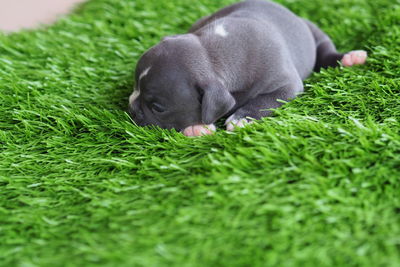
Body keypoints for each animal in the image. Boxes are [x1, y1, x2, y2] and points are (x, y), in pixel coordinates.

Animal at [127, 0, 366, 137]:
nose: (132, 108)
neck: (215, 53)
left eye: (158, 107)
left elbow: (265, 101)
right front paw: (196, 127)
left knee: (325, 49)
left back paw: (350, 58)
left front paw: (242, 118)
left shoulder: (286, 85)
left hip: (311, 29)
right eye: (135, 85)